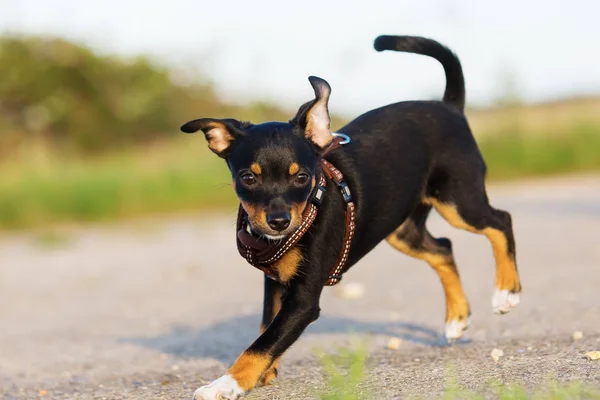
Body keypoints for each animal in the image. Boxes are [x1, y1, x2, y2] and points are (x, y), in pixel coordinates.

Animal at [182, 35, 520, 400]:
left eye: (302, 177)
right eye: (248, 178)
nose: (279, 221)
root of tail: (449, 107)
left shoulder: (303, 300)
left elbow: (262, 342)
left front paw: (226, 383)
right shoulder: (275, 281)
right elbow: (266, 326)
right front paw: (264, 372)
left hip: (457, 200)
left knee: (501, 221)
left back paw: (506, 292)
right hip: (402, 229)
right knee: (444, 247)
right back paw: (456, 319)